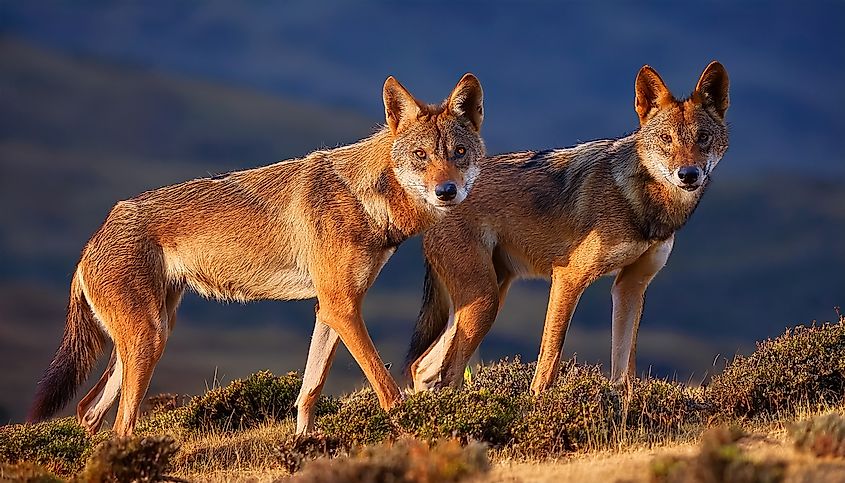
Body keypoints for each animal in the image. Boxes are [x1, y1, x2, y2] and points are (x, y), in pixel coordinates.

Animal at [28, 73, 485, 436]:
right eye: (421, 156)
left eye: (459, 153)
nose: (447, 191)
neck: (367, 197)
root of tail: (90, 244)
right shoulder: (341, 306)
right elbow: (386, 387)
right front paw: (410, 429)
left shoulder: (329, 309)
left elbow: (309, 390)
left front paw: (304, 444)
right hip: (148, 340)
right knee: (120, 424)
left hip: (153, 335)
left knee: (88, 410)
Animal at [404, 62, 729, 395]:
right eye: (666, 139)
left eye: (703, 137)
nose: (688, 174)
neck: (641, 201)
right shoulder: (568, 277)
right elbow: (549, 360)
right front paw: (538, 402)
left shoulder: (631, 286)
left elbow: (624, 372)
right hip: (485, 302)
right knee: (445, 373)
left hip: (486, 296)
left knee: (422, 366)